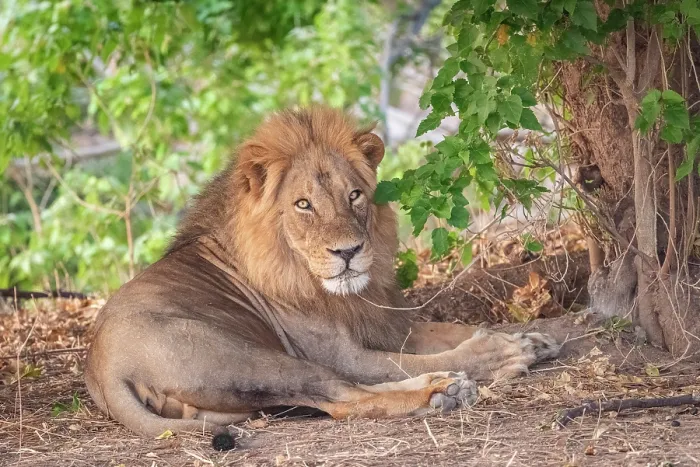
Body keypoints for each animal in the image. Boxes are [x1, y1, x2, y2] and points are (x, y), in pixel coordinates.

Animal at [85, 107, 560, 440]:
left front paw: (530, 338)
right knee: (342, 396)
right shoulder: (343, 352)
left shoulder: (383, 324)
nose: (348, 252)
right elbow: (422, 358)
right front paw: (503, 353)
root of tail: (104, 370)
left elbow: (447, 332)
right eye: (303, 205)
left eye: (354, 195)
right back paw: (442, 393)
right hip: (250, 358)